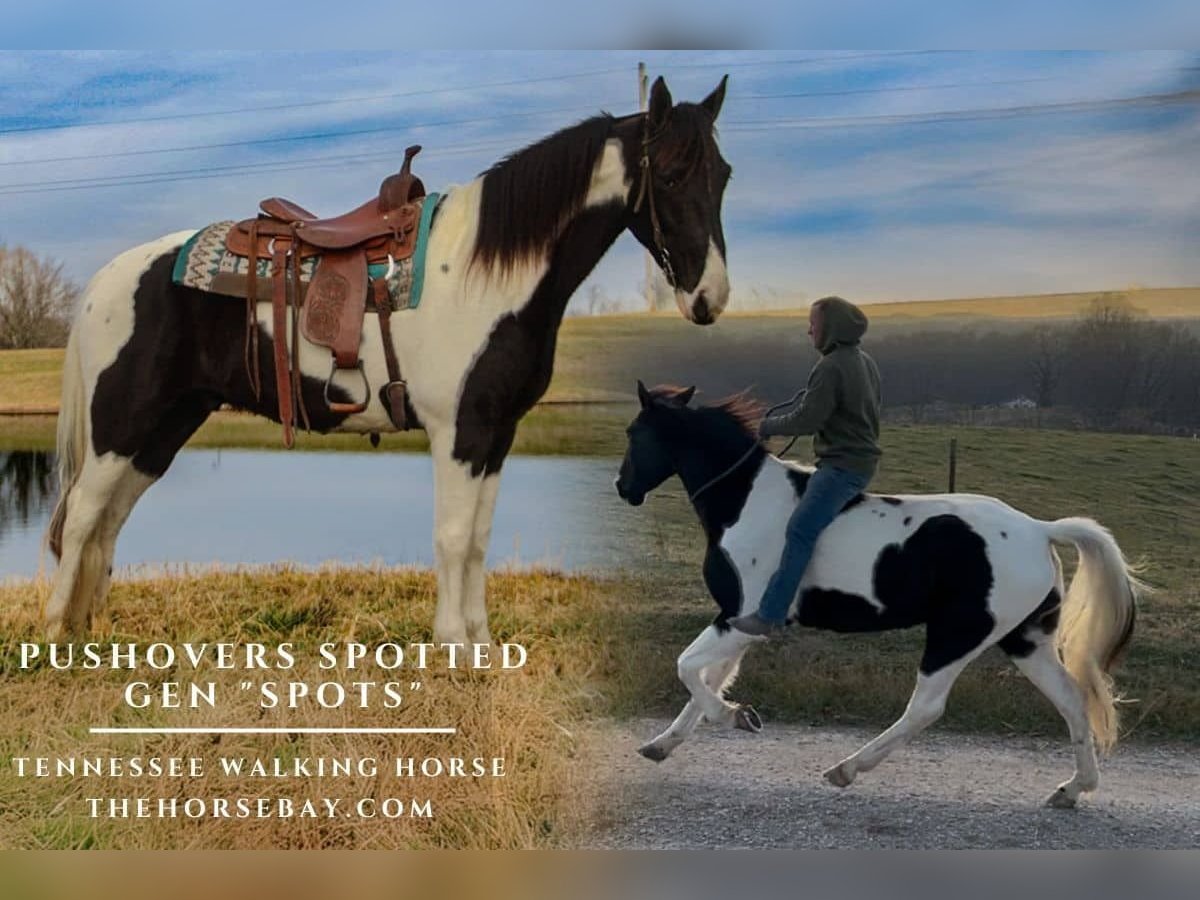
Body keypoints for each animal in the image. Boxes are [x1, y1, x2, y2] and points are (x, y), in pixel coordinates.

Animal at [43, 75, 733, 644]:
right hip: (119, 427)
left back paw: (92, 629)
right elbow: (453, 537)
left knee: (108, 522)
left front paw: (481, 645)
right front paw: (452, 645)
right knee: (80, 519)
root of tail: (106, 281)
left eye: (723, 174)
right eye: (671, 176)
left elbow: (477, 540)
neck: (489, 275)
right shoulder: (459, 432)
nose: (710, 298)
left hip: (161, 432)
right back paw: (55, 636)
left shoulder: (497, 434)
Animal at [614, 383, 1140, 808]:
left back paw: (845, 768)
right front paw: (663, 744)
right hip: (1026, 640)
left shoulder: (740, 616)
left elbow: (688, 669)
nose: (623, 487)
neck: (744, 502)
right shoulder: (742, 622)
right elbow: (708, 679)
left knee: (926, 707)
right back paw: (1072, 790)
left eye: (634, 433)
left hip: (956, 635)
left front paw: (735, 717)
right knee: (1071, 699)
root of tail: (1039, 529)